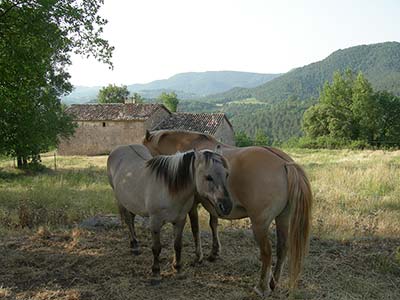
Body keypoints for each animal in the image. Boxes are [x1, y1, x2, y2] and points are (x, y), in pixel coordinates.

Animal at [143, 130, 312, 296]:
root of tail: (285, 163)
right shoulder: (214, 205)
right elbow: (213, 224)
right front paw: (214, 252)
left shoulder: (192, 205)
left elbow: (195, 228)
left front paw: (198, 256)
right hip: (283, 218)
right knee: (282, 248)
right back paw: (273, 283)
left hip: (260, 225)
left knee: (267, 253)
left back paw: (262, 287)